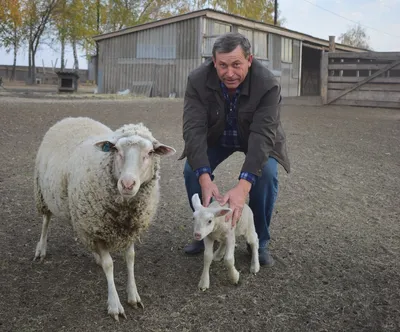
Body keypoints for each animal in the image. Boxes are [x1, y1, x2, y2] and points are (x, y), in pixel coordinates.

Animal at [34, 116, 177, 320]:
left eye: (150, 152)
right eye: (115, 149)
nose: (127, 184)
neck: (124, 210)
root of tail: (72, 118)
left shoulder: (129, 229)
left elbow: (130, 258)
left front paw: (133, 295)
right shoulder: (99, 229)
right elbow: (109, 266)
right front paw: (114, 304)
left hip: (78, 212)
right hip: (42, 193)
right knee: (46, 221)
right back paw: (41, 249)